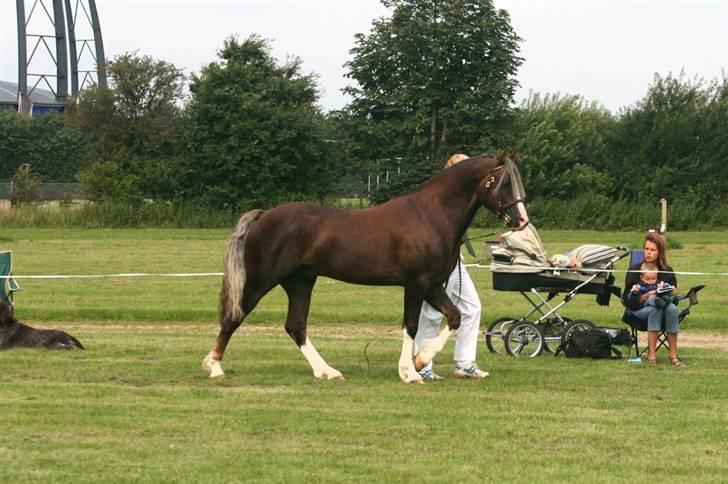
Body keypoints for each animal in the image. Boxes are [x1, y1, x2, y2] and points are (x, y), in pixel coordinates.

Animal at [202, 153, 528, 384]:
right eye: (504, 183)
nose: (521, 220)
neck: (430, 215)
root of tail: (265, 215)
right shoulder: (416, 284)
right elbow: (411, 325)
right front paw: (409, 372)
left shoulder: (434, 286)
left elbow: (455, 317)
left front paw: (421, 361)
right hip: (261, 280)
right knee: (235, 316)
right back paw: (214, 366)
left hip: (300, 283)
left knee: (296, 326)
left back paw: (327, 371)